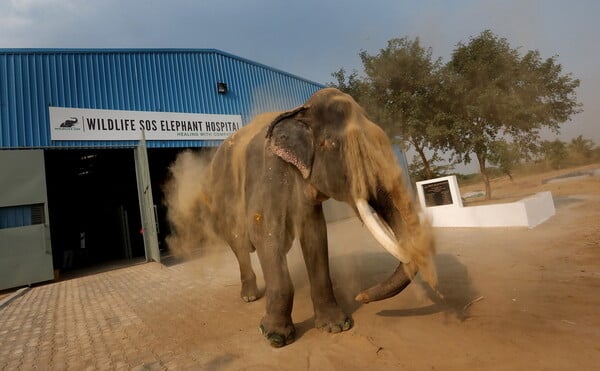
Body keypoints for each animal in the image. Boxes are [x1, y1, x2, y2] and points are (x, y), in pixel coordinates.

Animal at [164, 87, 436, 348]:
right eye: (335, 146)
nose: (361, 296)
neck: (299, 110)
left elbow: (315, 236)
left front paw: (336, 326)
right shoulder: (267, 175)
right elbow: (265, 234)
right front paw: (275, 337)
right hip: (223, 204)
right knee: (240, 244)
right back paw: (249, 296)